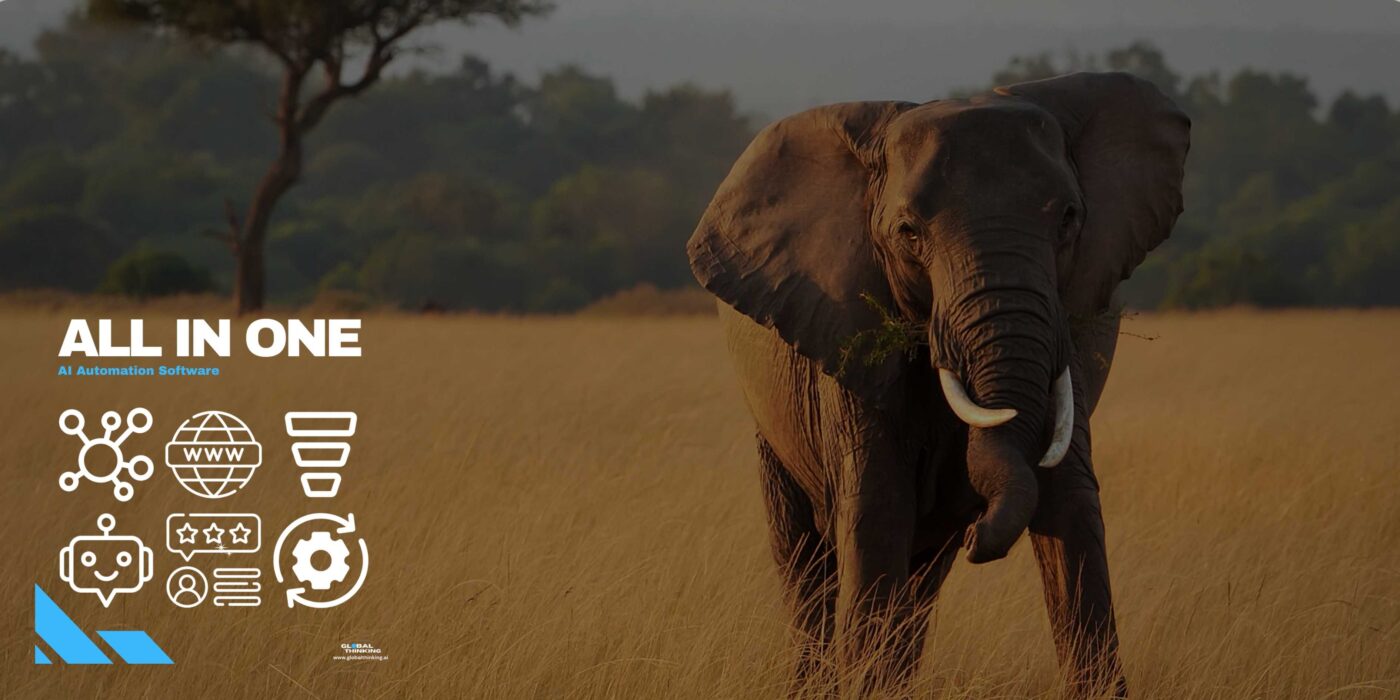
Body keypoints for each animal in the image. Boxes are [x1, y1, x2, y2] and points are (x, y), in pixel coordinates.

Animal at [686, 72, 1189, 696]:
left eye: (1069, 219)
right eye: (908, 232)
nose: (980, 541)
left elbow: (1071, 510)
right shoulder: (845, 335)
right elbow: (876, 513)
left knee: (921, 578)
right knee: (805, 563)